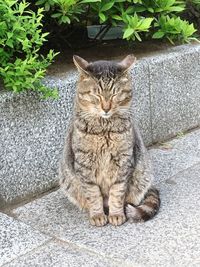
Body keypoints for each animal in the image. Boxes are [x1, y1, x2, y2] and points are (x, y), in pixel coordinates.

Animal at [58, 55, 160, 227]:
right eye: (96, 94)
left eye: (115, 94)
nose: (106, 108)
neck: (104, 129)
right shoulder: (84, 165)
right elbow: (93, 194)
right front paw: (98, 215)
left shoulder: (123, 162)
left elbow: (117, 193)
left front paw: (116, 214)